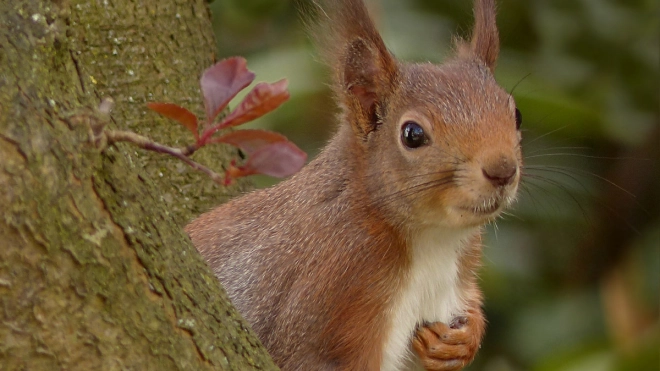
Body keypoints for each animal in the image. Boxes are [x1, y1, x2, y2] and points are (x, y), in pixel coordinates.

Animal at [184, 0, 520, 370]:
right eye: (412, 134)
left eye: (516, 115)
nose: (503, 170)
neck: (433, 238)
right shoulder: (334, 288)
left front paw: (461, 340)